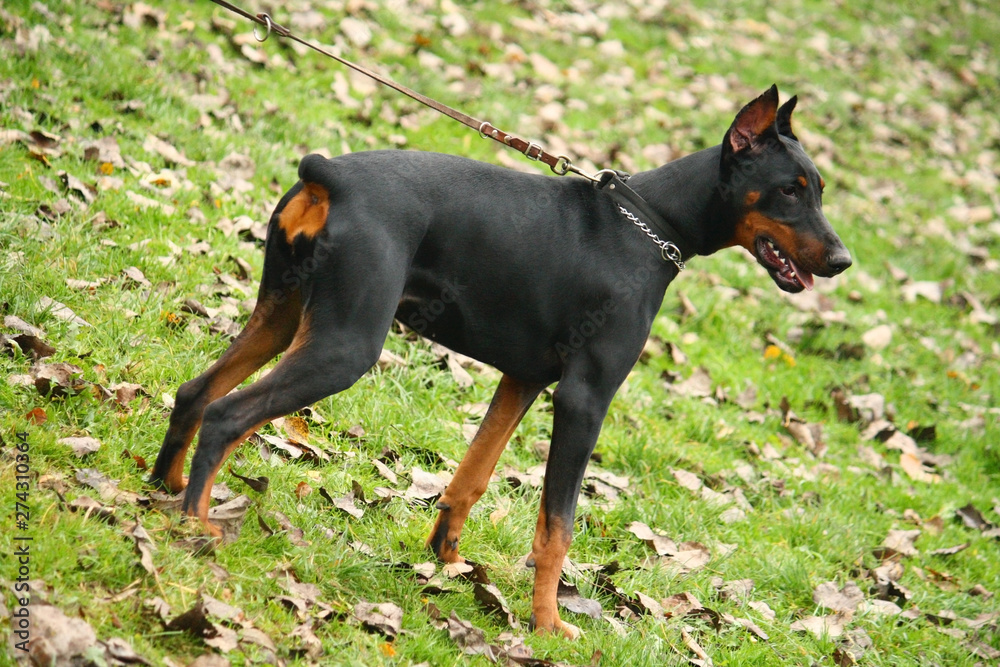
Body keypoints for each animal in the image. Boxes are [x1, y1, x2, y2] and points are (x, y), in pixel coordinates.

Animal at [150, 85, 851, 637]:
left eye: (817, 189)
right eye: (789, 191)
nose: (843, 261)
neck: (651, 224)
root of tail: (330, 175)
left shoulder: (524, 380)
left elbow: (473, 476)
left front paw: (446, 563)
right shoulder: (584, 399)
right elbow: (558, 525)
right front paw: (548, 625)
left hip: (282, 317)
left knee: (195, 393)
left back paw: (165, 490)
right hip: (343, 345)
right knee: (228, 414)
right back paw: (197, 529)